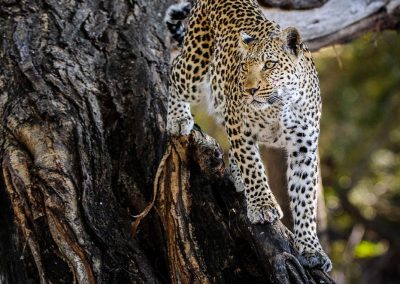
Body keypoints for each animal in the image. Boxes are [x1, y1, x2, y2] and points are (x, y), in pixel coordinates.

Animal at [164, 0, 332, 272]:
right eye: (245, 66)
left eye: (270, 64)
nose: (249, 90)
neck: (280, 104)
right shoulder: (239, 127)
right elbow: (253, 166)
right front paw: (263, 206)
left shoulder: (304, 147)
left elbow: (305, 198)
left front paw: (311, 249)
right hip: (196, 64)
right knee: (176, 69)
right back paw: (178, 118)